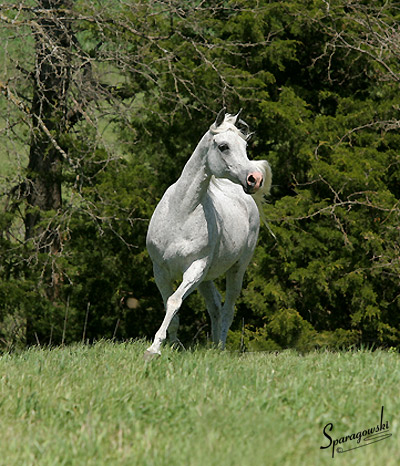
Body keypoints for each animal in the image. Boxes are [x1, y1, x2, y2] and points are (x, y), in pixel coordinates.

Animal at [145, 108, 272, 356]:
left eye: (245, 146)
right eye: (223, 146)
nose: (255, 179)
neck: (181, 213)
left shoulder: (195, 268)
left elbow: (174, 301)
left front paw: (154, 348)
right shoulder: (160, 270)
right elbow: (170, 305)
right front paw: (171, 345)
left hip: (236, 270)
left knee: (228, 308)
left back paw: (220, 348)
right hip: (206, 279)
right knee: (214, 306)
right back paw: (213, 346)